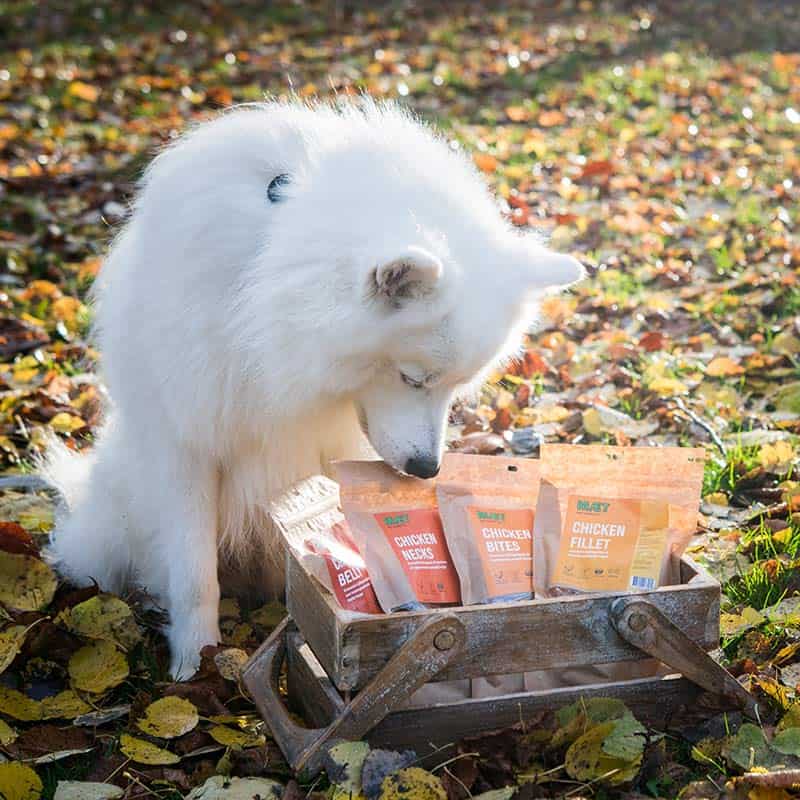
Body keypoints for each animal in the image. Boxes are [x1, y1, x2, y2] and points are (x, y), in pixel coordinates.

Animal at [47, 98, 584, 676]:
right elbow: (193, 575)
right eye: (412, 377)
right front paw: (196, 661)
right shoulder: (186, 444)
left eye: (456, 390)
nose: (427, 470)